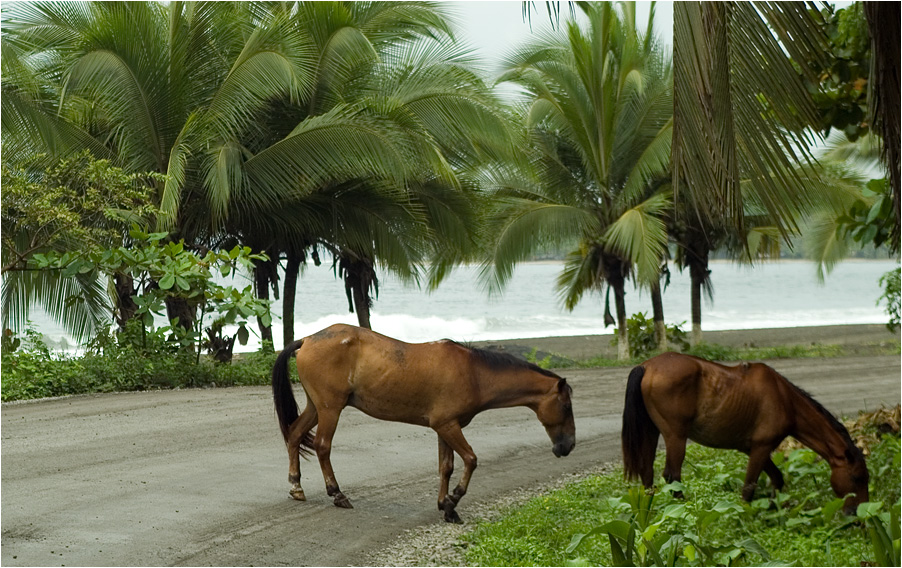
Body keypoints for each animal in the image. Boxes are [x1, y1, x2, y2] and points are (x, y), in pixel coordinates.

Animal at [272, 324, 576, 524]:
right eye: (566, 406)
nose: (568, 446)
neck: (475, 373)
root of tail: (307, 339)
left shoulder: (445, 428)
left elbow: (446, 467)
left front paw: (445, 505)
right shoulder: (449, 426)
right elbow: (470, 460)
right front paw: (453, 502)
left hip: (317, 407)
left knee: (295, 434)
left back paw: (296, 486)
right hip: (330, 408)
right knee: (322, 446)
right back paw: (337, 494)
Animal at [620, 352, 868, 512]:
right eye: (856, 478)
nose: (857, 515)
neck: (784, 399)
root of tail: (647, 366)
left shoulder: (755, 449)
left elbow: (777, 479)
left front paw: (773, 508)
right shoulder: (761, 448)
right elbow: (749, 487)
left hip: (652, 433)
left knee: (647, 473)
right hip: (676, 437)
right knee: (672, 476)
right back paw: (682, 508)